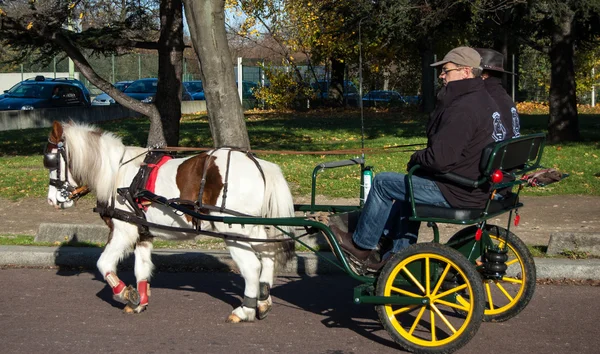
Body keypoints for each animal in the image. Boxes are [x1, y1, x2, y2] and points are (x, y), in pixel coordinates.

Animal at [43, 120, 296, 322]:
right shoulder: (143, 234)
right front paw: (140, 301)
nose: (52, 200)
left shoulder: (124, 231)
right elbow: (141, 268)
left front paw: (125, 293)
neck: (117, 174)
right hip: (251, 229)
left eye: (51, 161)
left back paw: (245, 310)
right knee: (268, 255)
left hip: (233, 231)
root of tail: (259, 165)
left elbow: (104, 263)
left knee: (252, 266)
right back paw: (263, 302)